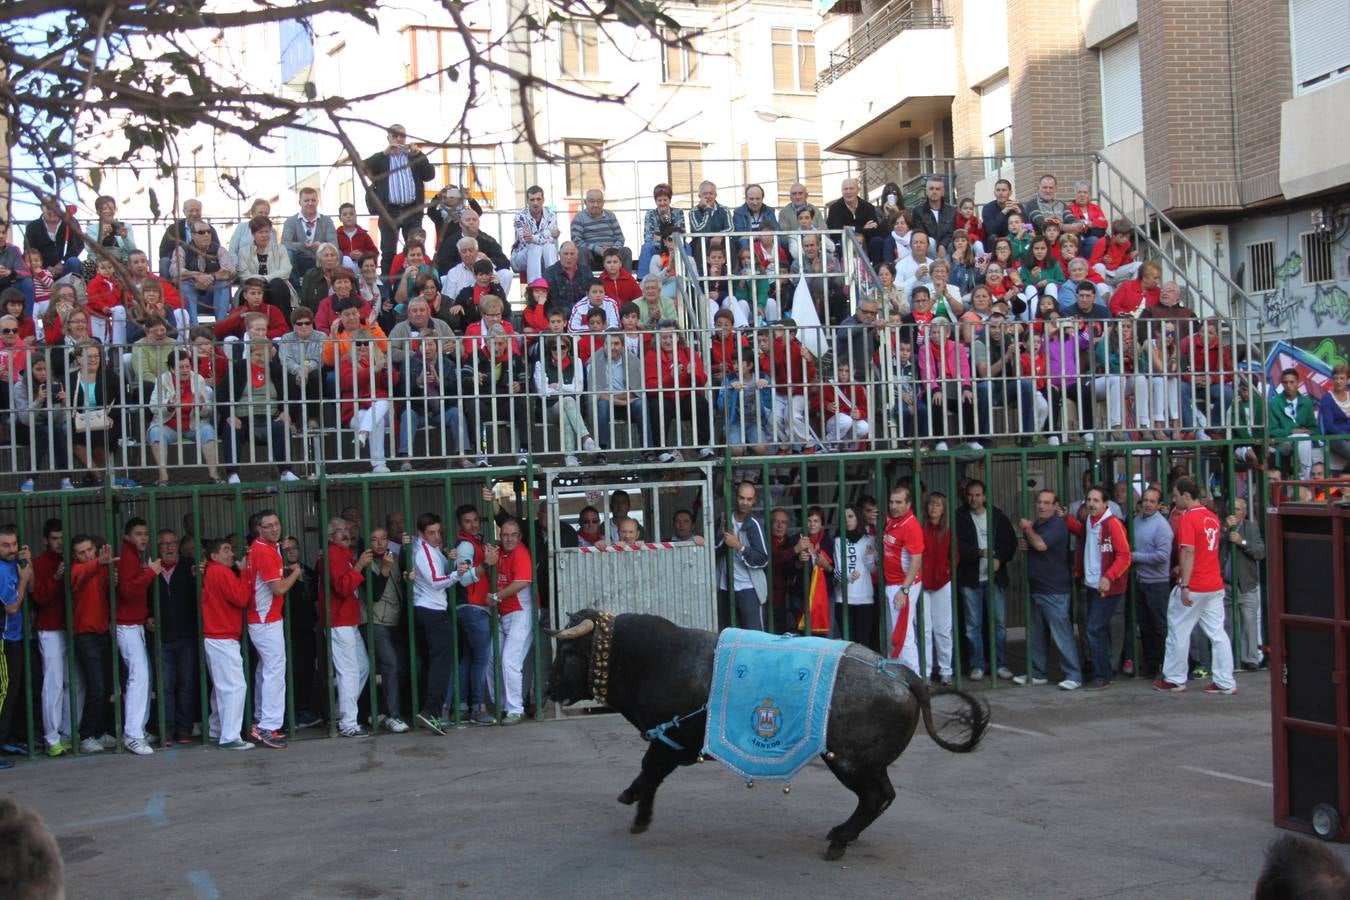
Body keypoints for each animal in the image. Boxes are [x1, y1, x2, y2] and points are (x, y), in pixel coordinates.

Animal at [545, 609, 993, 863]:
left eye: (566, 654)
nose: (549, 688)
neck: (654, 657)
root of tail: (900, 673)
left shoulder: (671, 739)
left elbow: (650, 769)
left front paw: (634, 804)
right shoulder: (672, 741)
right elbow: (652, 773)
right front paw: (638, 809)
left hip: (850, 762)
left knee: (875, 797)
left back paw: (838, 839)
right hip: (863, 764)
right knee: (882, 796)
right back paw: (842, 836)